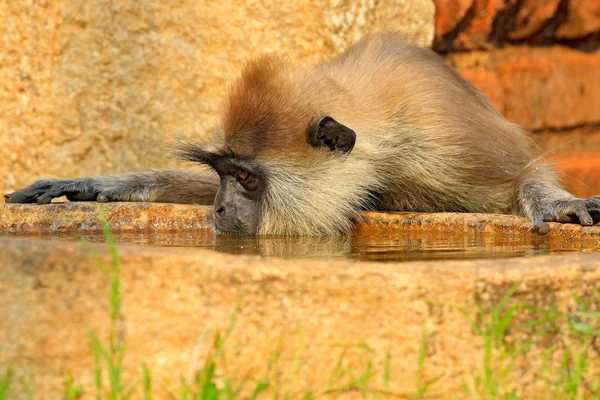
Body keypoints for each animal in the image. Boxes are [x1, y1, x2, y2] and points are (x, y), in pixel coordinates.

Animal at [4, 33, 600, 238]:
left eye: (246, 178)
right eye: (224, 174)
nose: (220, 211)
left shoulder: (438, 142)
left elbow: (521, 176)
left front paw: (559, 203)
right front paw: (92, 185)